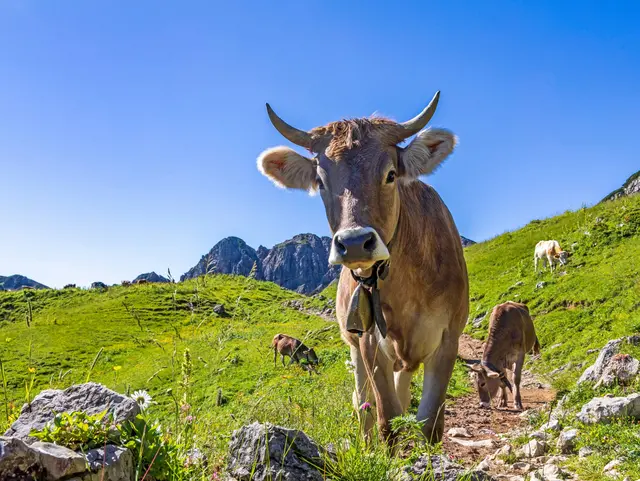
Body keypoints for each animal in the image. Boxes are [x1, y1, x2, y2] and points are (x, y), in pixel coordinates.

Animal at [257, 91, 468, 443]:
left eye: (391, 174)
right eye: (321, 182)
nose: (354, 242)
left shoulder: (448, 339)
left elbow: (428, 425)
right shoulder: (370, 343)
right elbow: (386, 419)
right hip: (354, 346)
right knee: (363, 403)